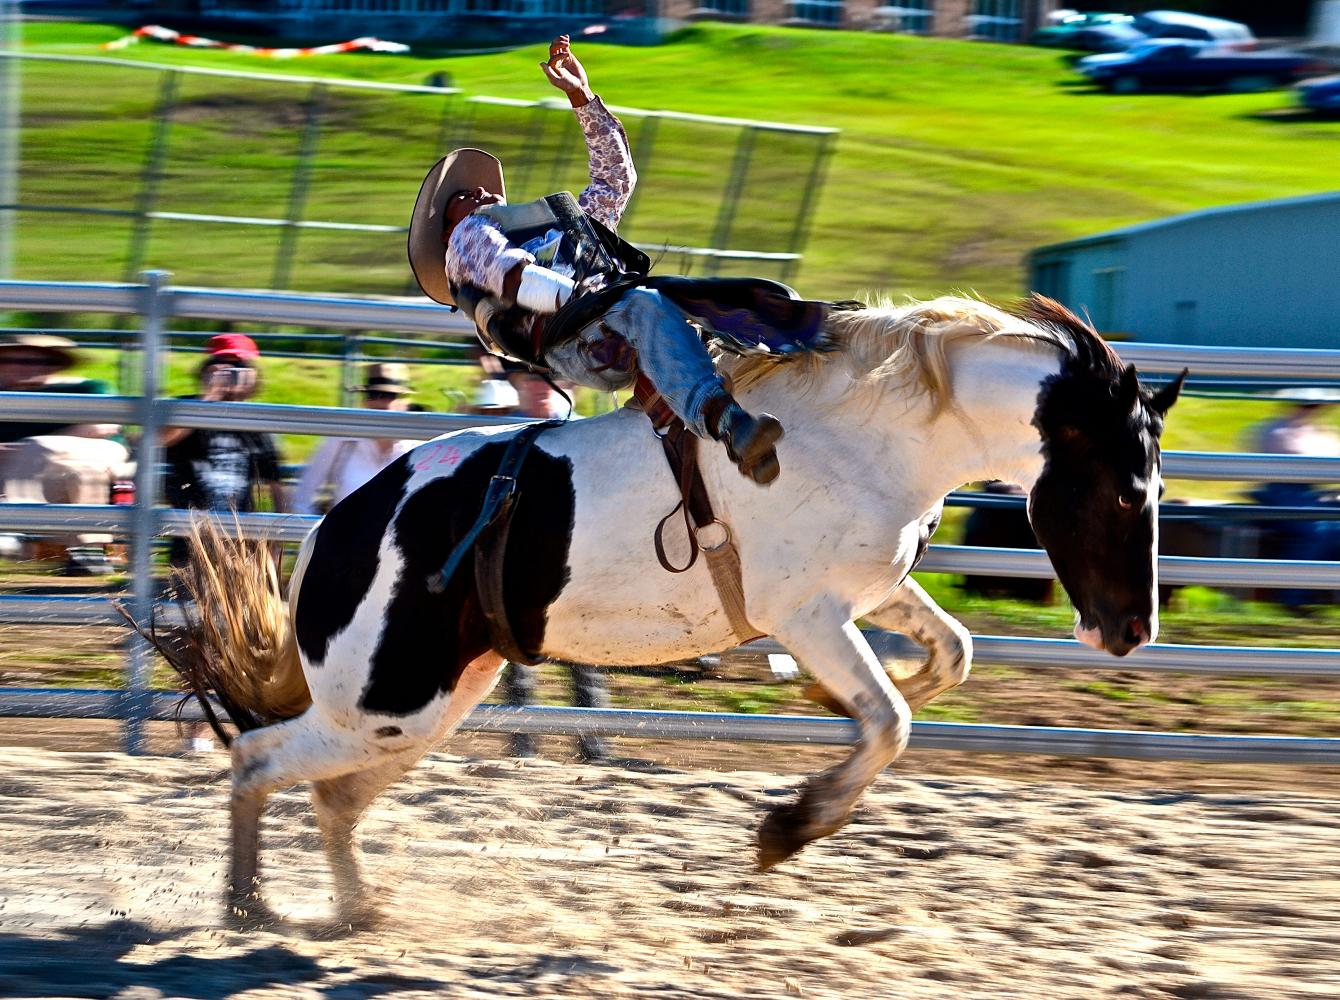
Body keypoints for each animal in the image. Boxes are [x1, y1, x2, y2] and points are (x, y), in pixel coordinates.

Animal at [154, 292, 1184, 922]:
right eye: (1127, 492)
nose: (1131, 631)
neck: (871, 431)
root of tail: (338, 528)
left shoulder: (876, 590)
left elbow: (949, 655)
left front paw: (829, 714)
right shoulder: (807, 613)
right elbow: (889, 720)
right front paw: (787, 830)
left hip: (424, 708)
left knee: (327, 797)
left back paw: (353, 911)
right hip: (382, 708)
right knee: (256, 759)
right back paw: (248, 906)